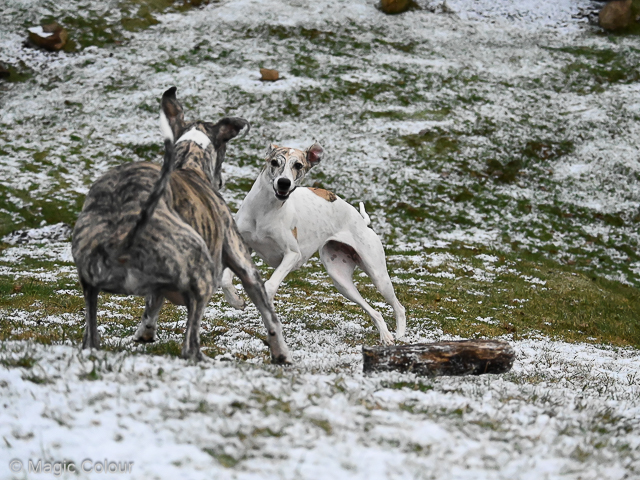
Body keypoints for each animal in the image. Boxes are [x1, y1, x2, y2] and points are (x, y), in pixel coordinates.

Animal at [72, 87, 290, 364]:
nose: (221, 181)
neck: (188, 161)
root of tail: (123, 236)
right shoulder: (242, 260)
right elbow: (270, 316)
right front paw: (281, 352)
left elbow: (152, 305)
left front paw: (145, 332)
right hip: (204, 273)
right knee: (190, 346)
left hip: (89, 282)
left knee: (91, 337)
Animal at [221, 141, 404, 344]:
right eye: (275, 162)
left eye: (298, 165)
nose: (284, 182)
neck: (264, 210)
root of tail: (361, 221)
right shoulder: (240, 245)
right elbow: (225, 280)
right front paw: (236, 301)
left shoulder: (292, 255)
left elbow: (269, 286)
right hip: (341, 281)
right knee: (375, 311)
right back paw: (385, 334)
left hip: (378, 277)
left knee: (399, 307)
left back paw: (399, 335)